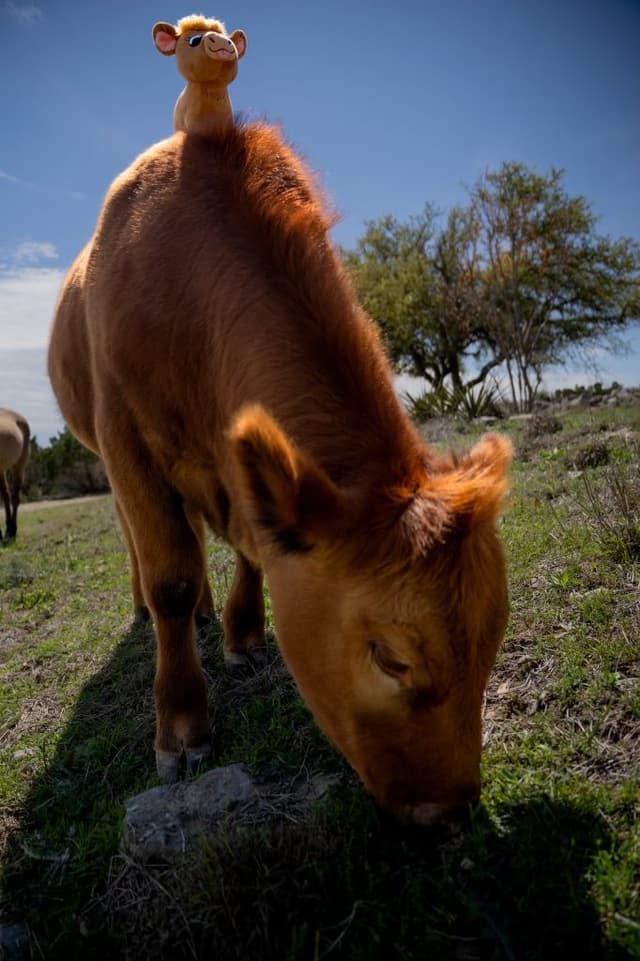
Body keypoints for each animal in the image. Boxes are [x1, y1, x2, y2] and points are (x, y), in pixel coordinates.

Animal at [47, 122, 512, 824]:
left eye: (494, 639)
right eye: (390, 658)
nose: (449, 809)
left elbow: (251, 550)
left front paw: (241, 634)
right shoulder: (124, 435)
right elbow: (171, 577)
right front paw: (181, 728)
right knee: (144, 544)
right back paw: (147, 611)